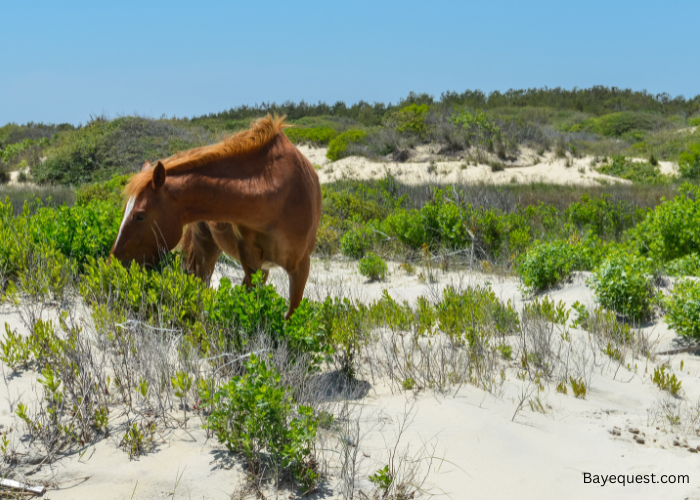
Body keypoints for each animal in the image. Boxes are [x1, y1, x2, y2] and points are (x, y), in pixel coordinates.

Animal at [111, 115, 322, 318]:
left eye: (140, 216)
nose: (113, 265)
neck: (279, 197)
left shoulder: (301, 268)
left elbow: (289, 316)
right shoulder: (251, 261)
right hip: (208, 248)